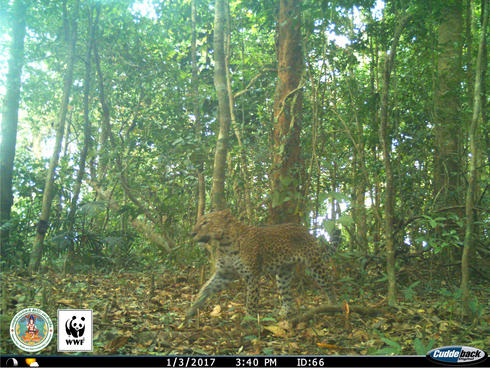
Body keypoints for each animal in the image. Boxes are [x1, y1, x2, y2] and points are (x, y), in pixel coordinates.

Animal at [186, 208, 334, 320]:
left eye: (205, 223)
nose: (191, 233)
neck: (225, 245)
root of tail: (305, 230)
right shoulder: (224, 274)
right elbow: (205, 289)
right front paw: (191, 310)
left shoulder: (252, 276)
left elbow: (251, 300)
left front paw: (248, 321)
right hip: (283, 275)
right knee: (288, 297)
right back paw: (282, 314)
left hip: (315, 265)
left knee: (329, 286)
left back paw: (334, 306)